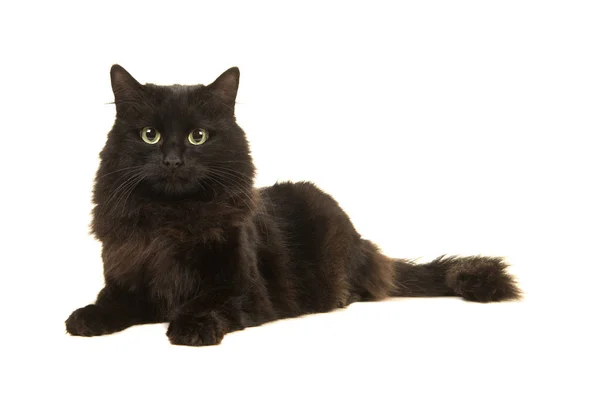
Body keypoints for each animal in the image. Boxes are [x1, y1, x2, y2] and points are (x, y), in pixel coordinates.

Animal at [63, 66, 516, 346]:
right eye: (150, 135)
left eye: (198, 137)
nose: (173, 161)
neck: (170, 220)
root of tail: (363, 243)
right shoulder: (127, 280)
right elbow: (110, 302)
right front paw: (85, 318)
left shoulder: (243, 290)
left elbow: (208, 302)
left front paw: (192, 326)